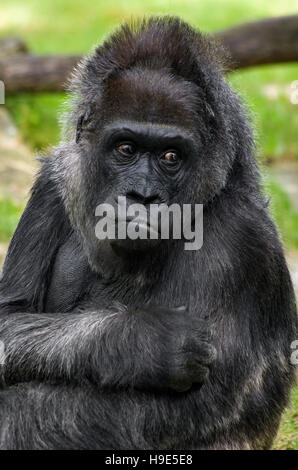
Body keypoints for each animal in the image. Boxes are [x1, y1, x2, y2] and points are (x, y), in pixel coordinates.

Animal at [0, 16, 296, 450]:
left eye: (170, 156)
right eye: (126, 148)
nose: (143, 195)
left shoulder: (245, 235)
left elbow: (196, 406)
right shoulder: (56, 181)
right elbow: (9, 318)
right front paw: (139, 341)